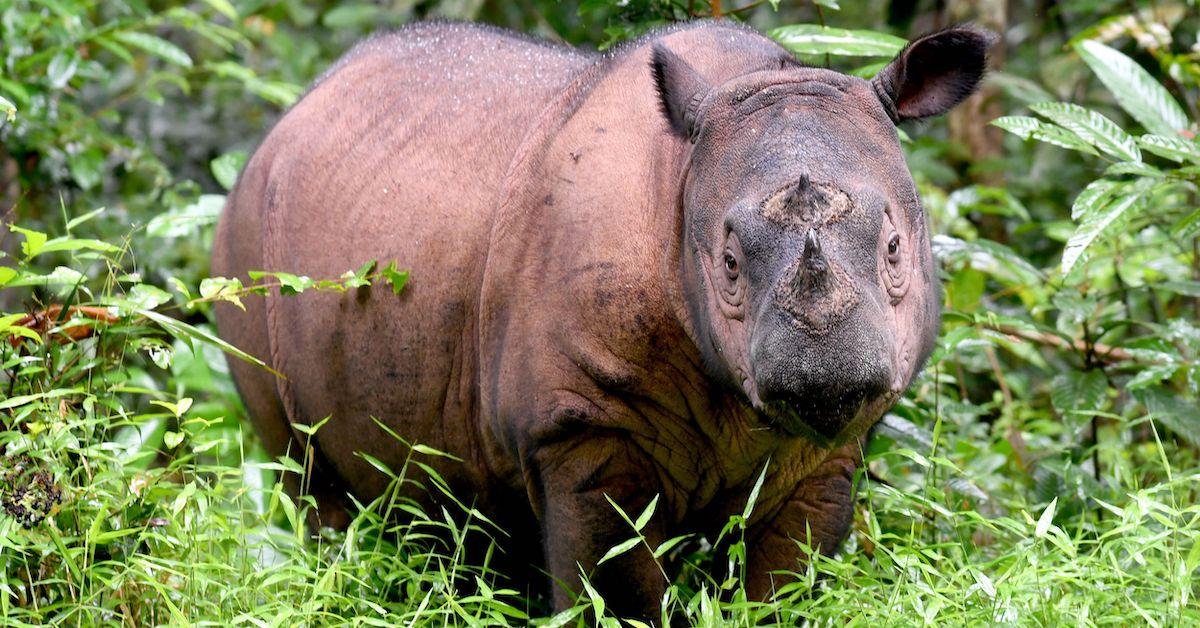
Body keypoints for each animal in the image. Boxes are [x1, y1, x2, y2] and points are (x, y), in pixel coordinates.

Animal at [213, 18, 993, 614]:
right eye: (728, 265)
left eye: (895, 249)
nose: (827, 374)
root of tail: (287, 119)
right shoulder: (580, 428)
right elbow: (617, 591)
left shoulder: (826, 453)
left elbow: (787, 586)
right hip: (243, 246)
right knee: (306, 475)